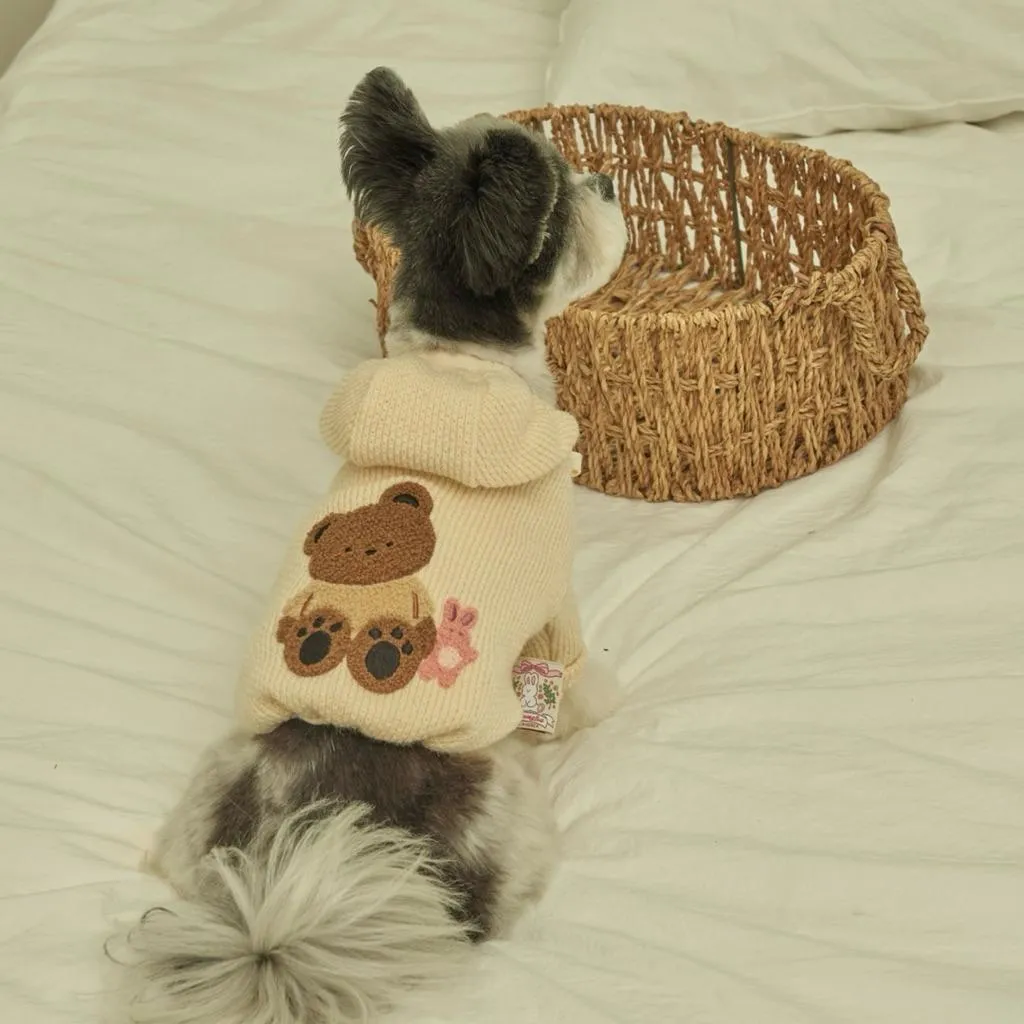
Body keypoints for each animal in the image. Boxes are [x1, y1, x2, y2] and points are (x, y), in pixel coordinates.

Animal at [275, 481, 438, 693]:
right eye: (347, 549)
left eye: (388, 541)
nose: (369, 550)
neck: (367, 583)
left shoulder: (415, 596)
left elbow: (424, 625)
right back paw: (315, 635)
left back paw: (388, 645)